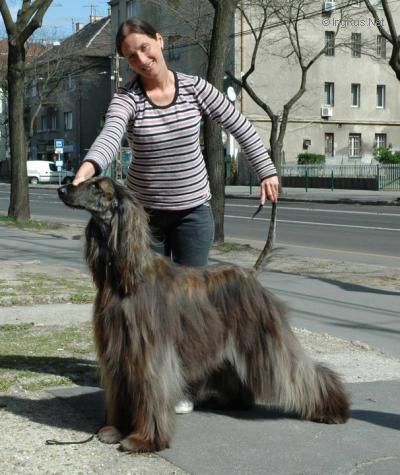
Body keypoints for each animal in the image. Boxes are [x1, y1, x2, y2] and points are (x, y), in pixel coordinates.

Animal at [58, 176, 350, 453]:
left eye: (97, 187)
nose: (62, 189)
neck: (124, 278)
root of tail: (251, 274)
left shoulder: (149, 353)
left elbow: (151, 393)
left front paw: (144, 439)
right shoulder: (118, 351)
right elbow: (120, 392)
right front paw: (115, 430)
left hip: (266, 339)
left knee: (304, 371)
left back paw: (333, 410)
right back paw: (234, 402)